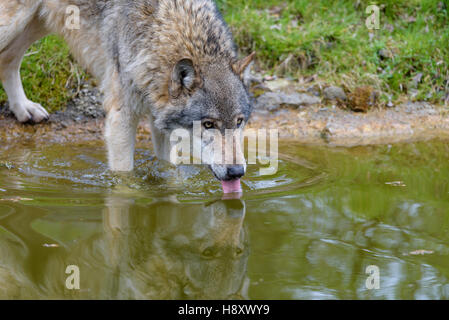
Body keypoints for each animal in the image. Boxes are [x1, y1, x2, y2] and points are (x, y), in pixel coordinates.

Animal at [0, 0, 252, 192]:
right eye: (208, 124)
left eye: (239, 122)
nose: (237, 172)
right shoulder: (121, 118)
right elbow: (124, 177)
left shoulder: (160, 123)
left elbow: (167, 170)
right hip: (14, 23)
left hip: (38, 22)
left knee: (8, 60)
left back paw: (23, 109)